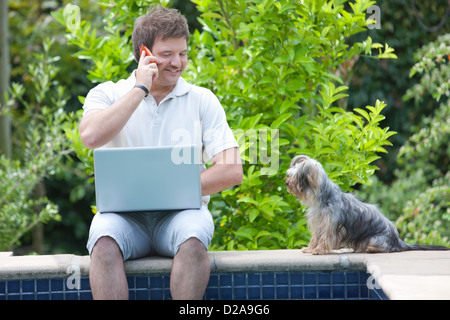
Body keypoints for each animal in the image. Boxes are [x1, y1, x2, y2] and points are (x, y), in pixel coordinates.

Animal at [286, 155, 448, 255]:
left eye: (294, 178)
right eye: (289, 175)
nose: (287, 183)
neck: (323, 198)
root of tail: (398, 241)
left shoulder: (330, 226)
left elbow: (325, 239)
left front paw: (318, 250)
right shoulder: (318, 224)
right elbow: (315, 238)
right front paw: (309, 248)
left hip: (375, 238)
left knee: (385, 248)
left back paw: (372, 249)